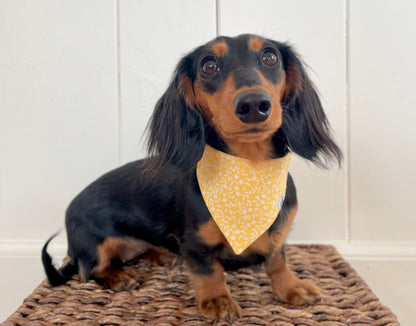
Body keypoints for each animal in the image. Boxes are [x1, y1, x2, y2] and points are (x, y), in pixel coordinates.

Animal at [42, 33, 342, 320]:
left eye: (270, 58)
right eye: (209, 65)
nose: (254, 104)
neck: (250, 168)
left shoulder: (278, 233)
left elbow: (278, 261)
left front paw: (292, 286)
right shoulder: (195, 243)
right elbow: (210, 271)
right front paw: (218, 301)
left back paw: (162, 254)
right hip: (95, 245)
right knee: (92, 269)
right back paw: (118, 277)